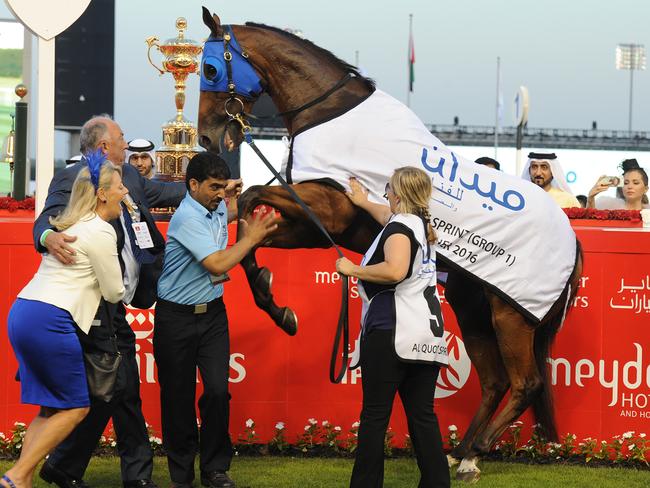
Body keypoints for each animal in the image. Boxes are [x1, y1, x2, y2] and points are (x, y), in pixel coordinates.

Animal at [197, 9, 584, 482]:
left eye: (210, 69)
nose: (206, 138)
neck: (330, 115)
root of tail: (572, 242)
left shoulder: (328, 208)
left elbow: (253, 195)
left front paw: (275, 300)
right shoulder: (317, 224)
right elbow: (254, 228)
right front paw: (277, 305)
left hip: (511, 316)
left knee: (526, 383)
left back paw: (474, 455)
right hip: (472, 308)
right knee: (494, 381)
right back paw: (459, 450)